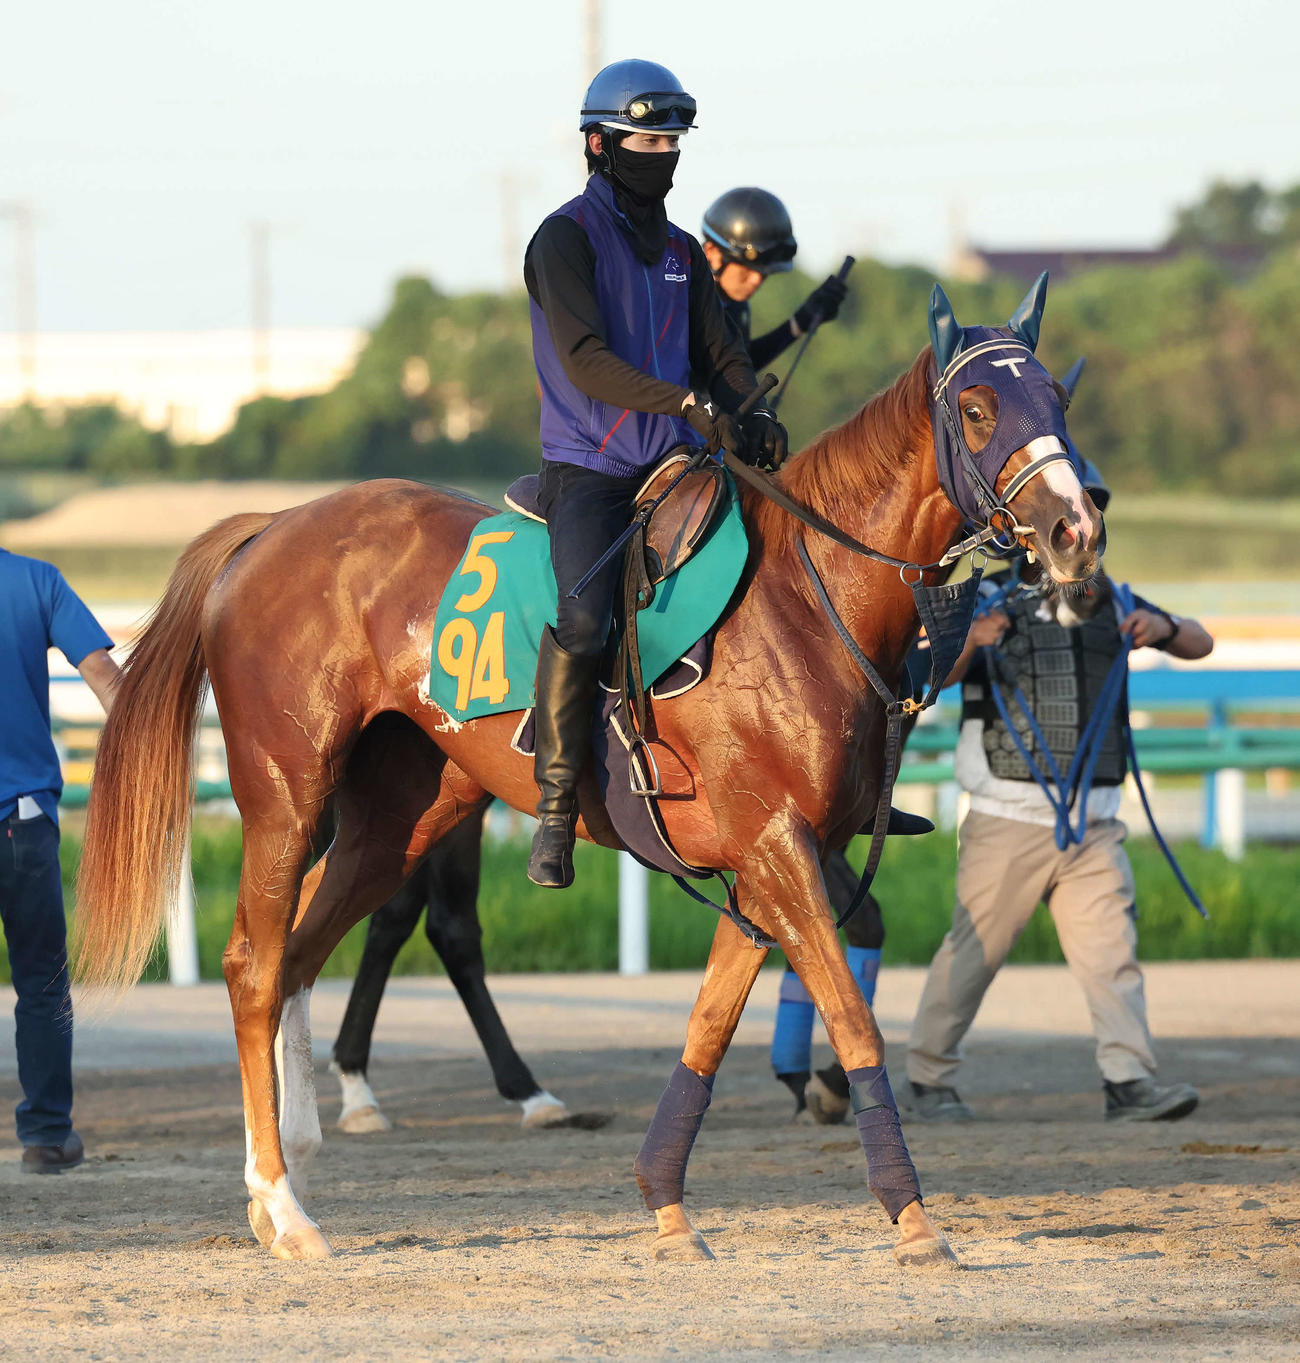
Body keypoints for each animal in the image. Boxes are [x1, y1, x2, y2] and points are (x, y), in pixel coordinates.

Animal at [73, 280, 1102, 1265]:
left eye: (1058, 395)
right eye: (976, 407)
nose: (1076, 526)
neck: (806, 601)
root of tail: (267, 527)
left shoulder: (758, 867)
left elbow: (707, 1028)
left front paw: (668, 1205)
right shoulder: (780, 848)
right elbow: (851, 1017)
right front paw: (913, 1217)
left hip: (403, 814)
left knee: (300, 951)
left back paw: (283, 1168)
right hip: (288, 794)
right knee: (255, 963)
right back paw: (286, 1206)